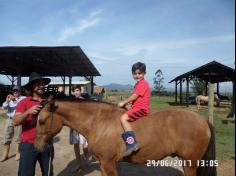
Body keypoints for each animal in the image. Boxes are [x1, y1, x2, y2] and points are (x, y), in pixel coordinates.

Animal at [34, 99, 217, 176]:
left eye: (41, 121)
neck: (99, 121)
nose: (36, 146)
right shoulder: (106, 164)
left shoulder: (108, 164)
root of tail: (203, 120)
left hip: (190, 163)